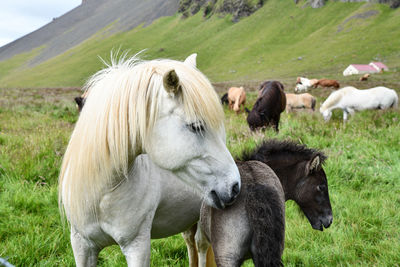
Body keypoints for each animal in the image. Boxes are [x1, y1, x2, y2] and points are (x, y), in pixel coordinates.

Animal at [58, 53, 241, 266]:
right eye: (196, 126)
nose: (235, 187)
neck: (101, 193)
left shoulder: (137, 245)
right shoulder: (81, 245)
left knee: (201, 246)